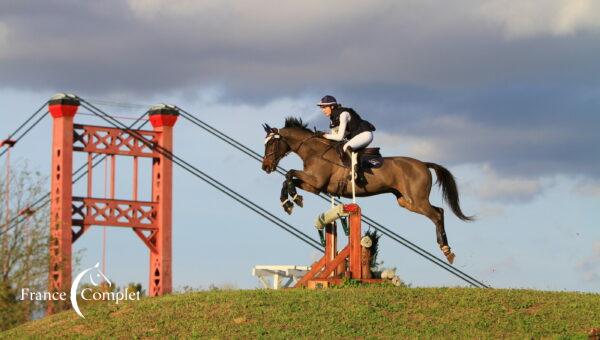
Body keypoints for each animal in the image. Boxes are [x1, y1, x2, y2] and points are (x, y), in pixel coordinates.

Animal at [262, 117, 474, 262]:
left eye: (272, 143)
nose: (265, 167)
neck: (315, 151)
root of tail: (423, 164)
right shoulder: (314, 186)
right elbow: (289, 179)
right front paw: (288, 202)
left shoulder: (316, 181)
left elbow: (289, 173)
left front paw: (293, 200)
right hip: (406, 201)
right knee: (439, 211)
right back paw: (446, 249)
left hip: (418, 200)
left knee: (436, 214)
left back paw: (447, 251)